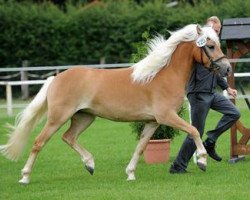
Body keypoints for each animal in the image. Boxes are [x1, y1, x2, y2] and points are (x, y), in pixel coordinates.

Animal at [0, 23, 231, 184]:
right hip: (58, 117)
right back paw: (25, 177)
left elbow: (141, 147)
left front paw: (130, 174)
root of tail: (55, 78)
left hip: (84, 117)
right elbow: (193, 130)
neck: (162, 74)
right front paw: (202, 160)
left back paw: (90, 165)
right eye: (211, 46)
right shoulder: (167, 117)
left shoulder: (153, 122)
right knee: (39, 142)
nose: (227, 69)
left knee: (68, 137)